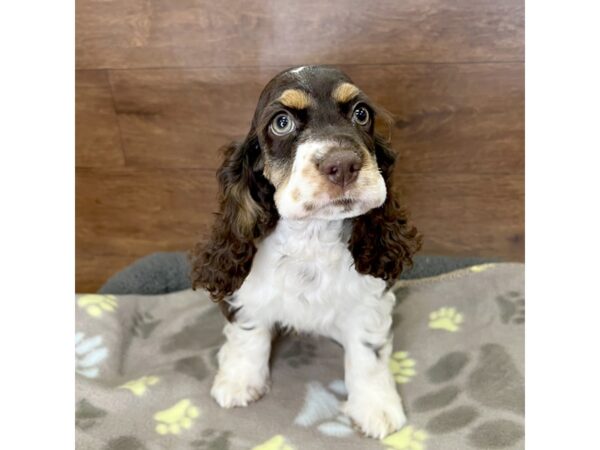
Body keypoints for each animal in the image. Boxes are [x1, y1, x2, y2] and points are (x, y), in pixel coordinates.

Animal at [192, 65, 422, 438]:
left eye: (361, 113)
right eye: (281, 122)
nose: (342, 165)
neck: (312, 234)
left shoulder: (368, 299)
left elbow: (367, 354)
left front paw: (376, 408)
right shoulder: (248, 291)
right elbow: (248, 335)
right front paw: (239, 381)